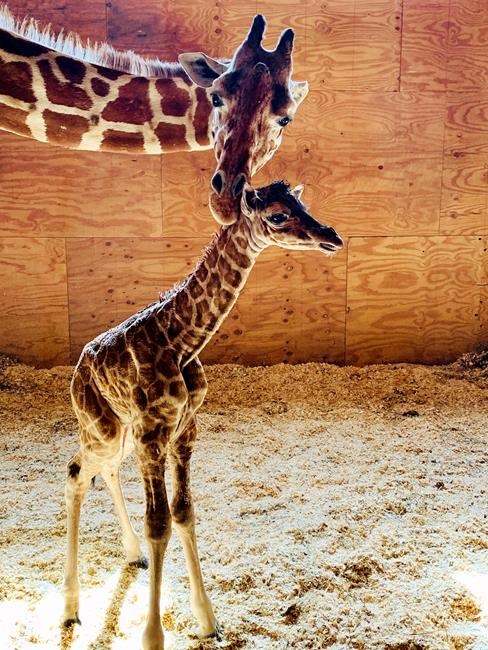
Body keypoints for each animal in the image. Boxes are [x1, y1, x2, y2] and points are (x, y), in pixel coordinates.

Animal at [63, 179, 343, 649]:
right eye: (278, 215)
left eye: (303, 203)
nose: (333, 236)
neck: (180, 341)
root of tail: (78, 368)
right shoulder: (153, 433)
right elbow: (159, 522)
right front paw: (153, 635)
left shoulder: (183, 432)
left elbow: (183, 513)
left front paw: (207, 620)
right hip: (102, 428)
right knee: (75, 473)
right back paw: (70, 608)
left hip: (120, 435)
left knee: (104, 470)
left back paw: (132, 554)